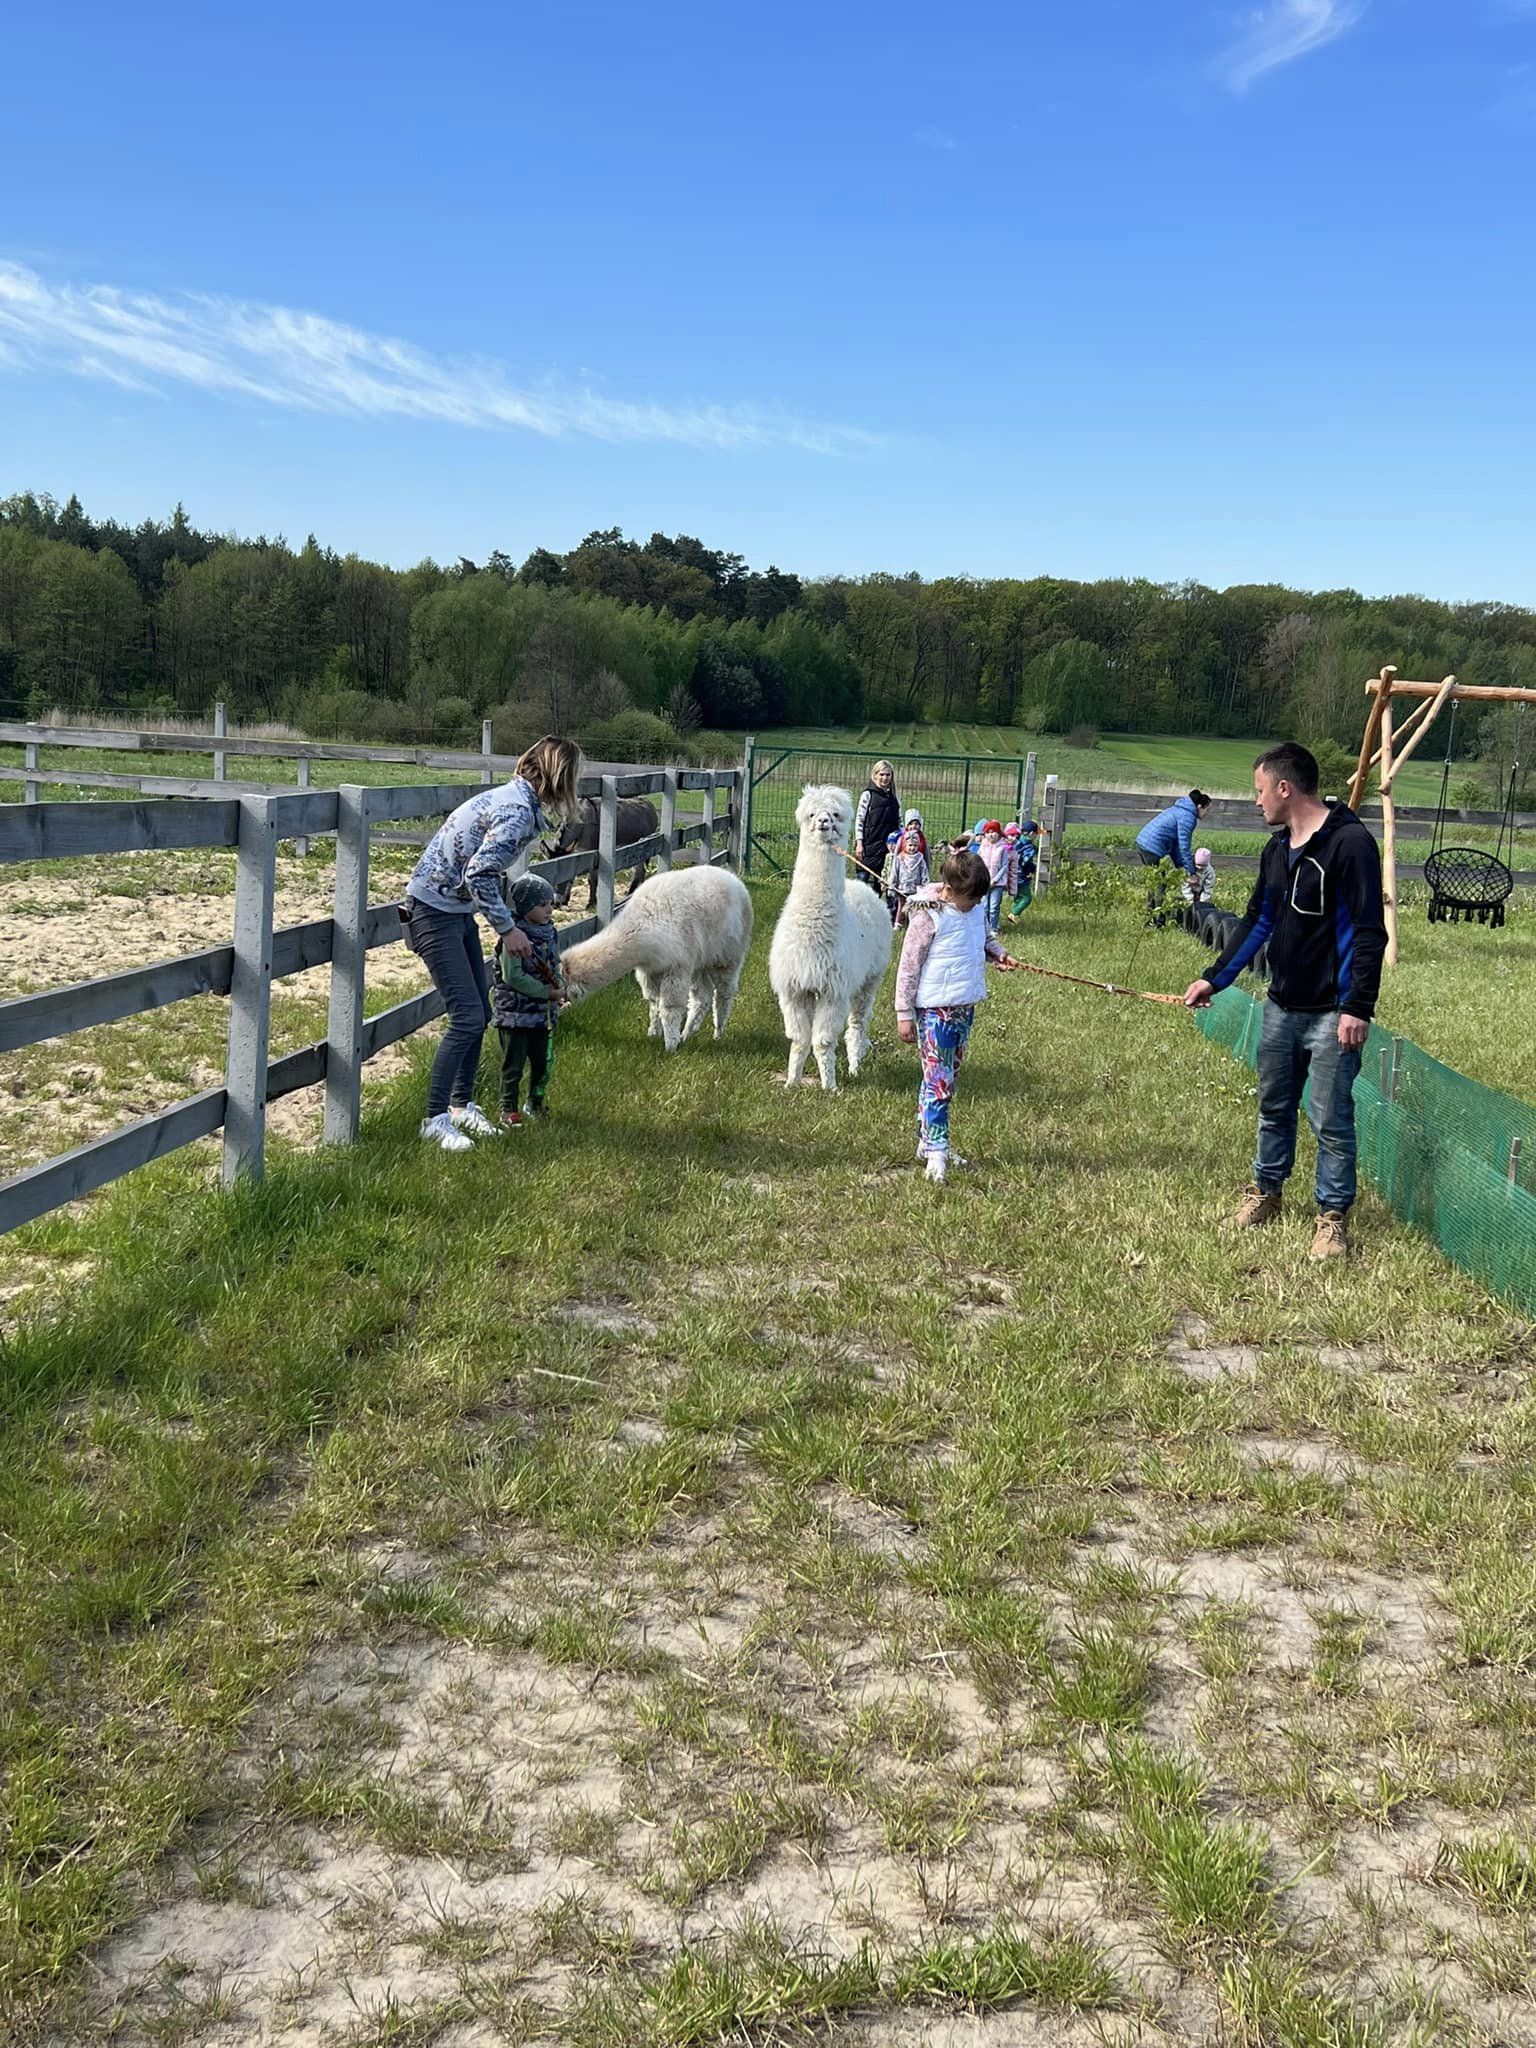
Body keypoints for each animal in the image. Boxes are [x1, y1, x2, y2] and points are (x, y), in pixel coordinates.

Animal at [768, 784, 893, 1091]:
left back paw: (855, 1067)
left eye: (835, 814)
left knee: (857, 1023)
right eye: (812, 814)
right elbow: (799, 1040)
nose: (824, 822)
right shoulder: (794, 989)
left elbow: (823, 1042)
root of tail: (861, 886)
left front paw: (830, 1087)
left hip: (870, 978)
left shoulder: (832, 991)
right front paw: (792, 1082)